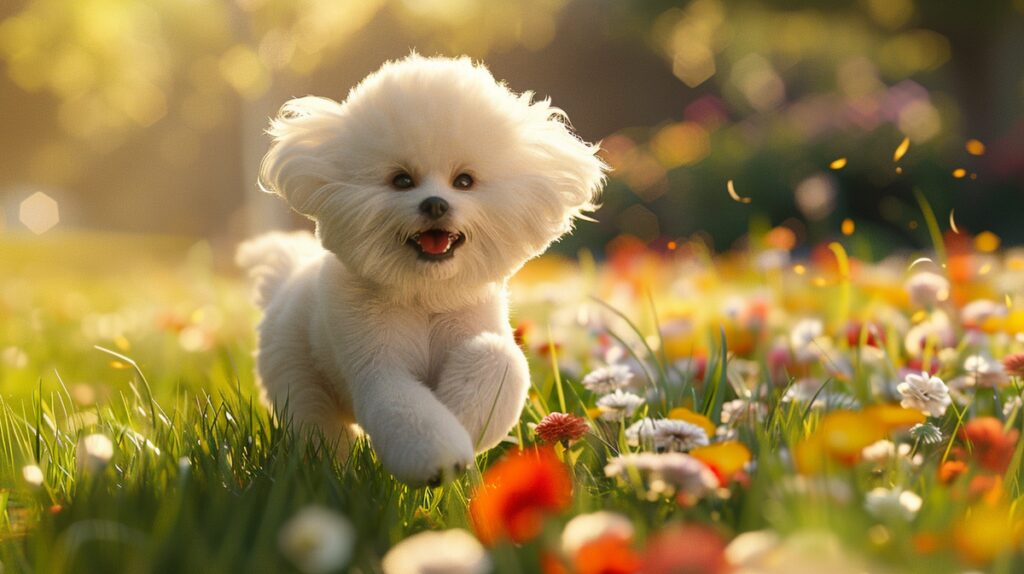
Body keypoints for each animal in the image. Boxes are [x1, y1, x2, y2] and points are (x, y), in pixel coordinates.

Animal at [237, 53, 606, 482]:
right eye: (402, 180)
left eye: (464, 181)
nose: (434, 204)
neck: (426, 298)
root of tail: (283, 281)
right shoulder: (377, 364)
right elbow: (402, 405)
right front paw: (440, 457)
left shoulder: (477, 327)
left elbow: (498, 359)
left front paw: (462, 418)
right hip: (296, 376)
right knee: (318, 428)